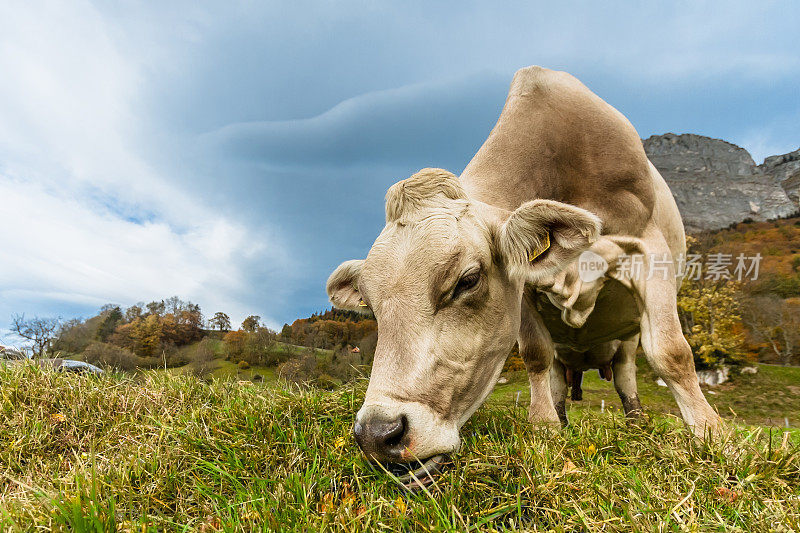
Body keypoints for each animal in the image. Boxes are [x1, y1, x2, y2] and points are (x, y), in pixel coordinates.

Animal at [324, 65, 720, 482]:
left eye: (467, 280)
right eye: (370, 304)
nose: (377, 434)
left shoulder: (650, 248)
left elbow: (672, 353)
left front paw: (711, 432)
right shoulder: (524, 289)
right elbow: (535, 355)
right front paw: (545, 428)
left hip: (626, 336)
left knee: (627, 371)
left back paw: (636, 425)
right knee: (559, 376)